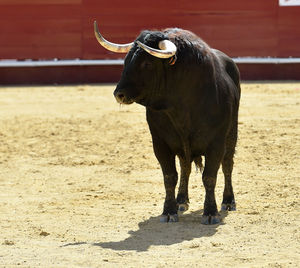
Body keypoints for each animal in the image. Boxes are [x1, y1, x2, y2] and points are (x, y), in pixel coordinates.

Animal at [95, 21, 240, 224]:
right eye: (126, 61)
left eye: (147, 63)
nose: (119, 94)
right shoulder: (160, 143)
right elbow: (170, 176)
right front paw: (169, 211)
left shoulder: (216, 143)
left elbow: (210, 176)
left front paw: (211, 213)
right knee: (185, 167)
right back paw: (181, 200)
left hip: (231, 134)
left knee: (227, 164)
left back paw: (228, 201)